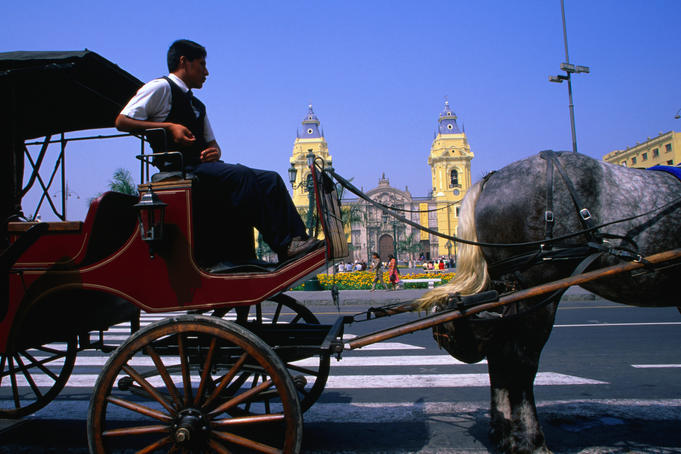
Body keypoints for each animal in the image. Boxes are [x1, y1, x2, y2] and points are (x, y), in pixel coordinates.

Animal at [418, 150, 681, 454]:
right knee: (520, 360)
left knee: (500, 355)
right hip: (537, 287)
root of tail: (491, 179)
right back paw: (531, 442)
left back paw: (504, 433)